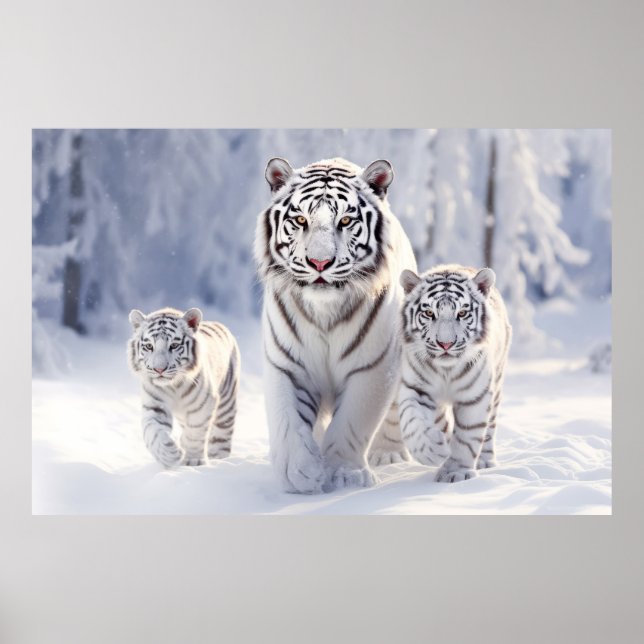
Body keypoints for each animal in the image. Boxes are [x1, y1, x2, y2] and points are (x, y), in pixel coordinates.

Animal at [127, 307, 240, 467]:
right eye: (149, 346)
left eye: (174, 345)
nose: (159, 369)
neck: (173, 386)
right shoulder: (155, 405)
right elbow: (153, 431)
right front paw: (169, 454)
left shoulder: (203, 405)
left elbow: (195, 432)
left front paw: (194, 461)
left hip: (226, 405)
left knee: (221, 436)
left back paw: (218, 459)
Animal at [254, 156, 417, 493]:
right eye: (300, 220)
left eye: (344, 221)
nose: (319, 263)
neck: (325, 312)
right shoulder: (288, 364)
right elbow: (288, 418)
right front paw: (301, 472)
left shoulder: (373, 367)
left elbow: (352, 422)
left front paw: (345, 474)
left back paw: (388, 454)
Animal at [398, 264, 512, 482]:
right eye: (429, 312)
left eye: (462, 313)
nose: (446, 344)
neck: (446, 371)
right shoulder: (416, 389)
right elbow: (412, 420)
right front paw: (432, 450)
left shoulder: (475, 396)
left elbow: (467, 437)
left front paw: (455, 473)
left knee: (489, 428)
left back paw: (485, 461)